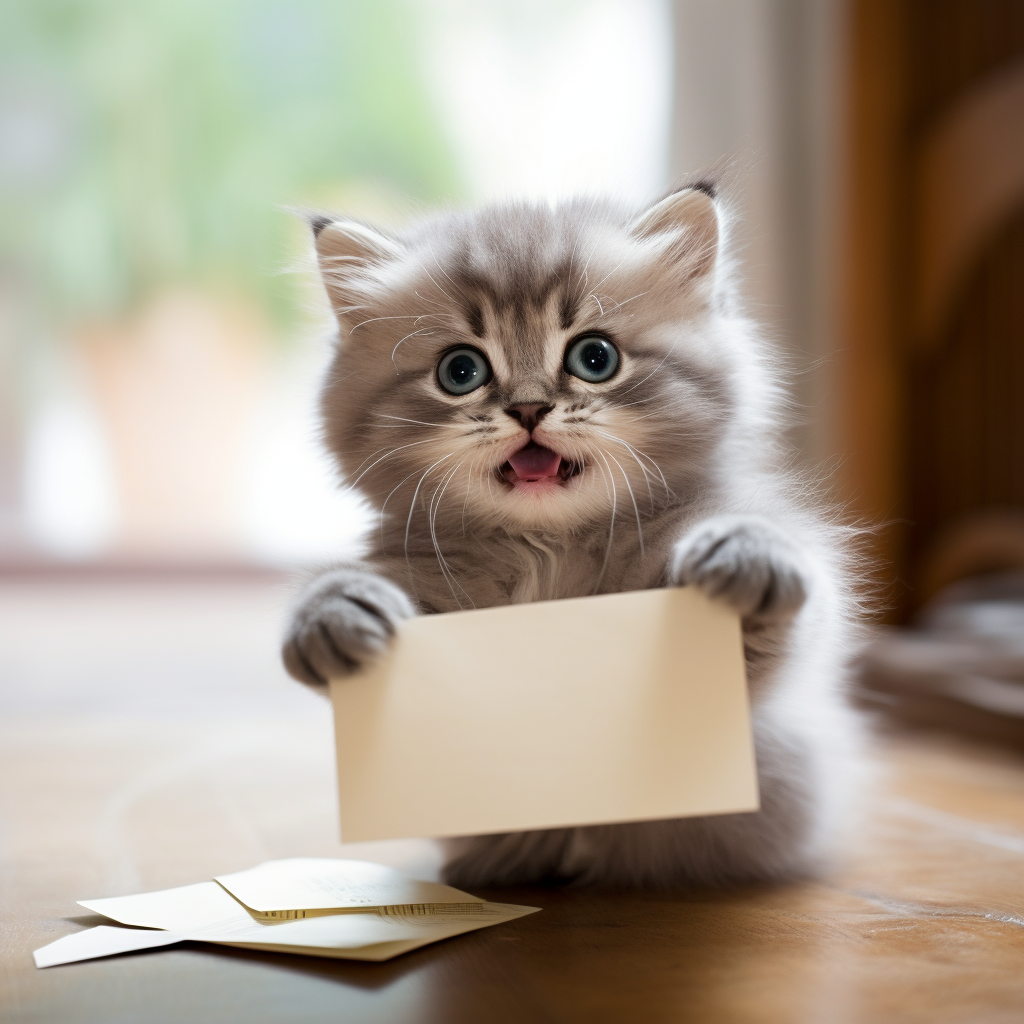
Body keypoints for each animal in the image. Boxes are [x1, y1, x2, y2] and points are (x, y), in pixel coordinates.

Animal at [286, 188, 864, 892]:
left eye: (595, 358)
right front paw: (334, 616)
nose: (530, 408)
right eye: (460, 370)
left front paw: (745, 558)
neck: (549, 550)